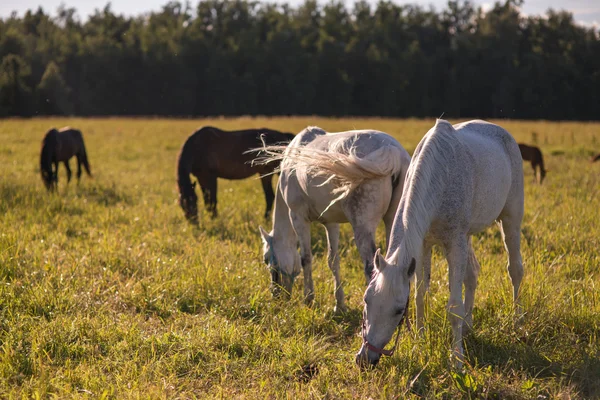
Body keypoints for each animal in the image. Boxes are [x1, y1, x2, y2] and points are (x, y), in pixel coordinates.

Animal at [356, 119, 524, 368]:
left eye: (398, 310)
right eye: (367, 300)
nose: (365, 359)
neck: (439, 176)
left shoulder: (454, 243)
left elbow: (453, 306)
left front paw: (457, 359)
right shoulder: (423, 246)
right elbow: (420, 297)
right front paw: (419, 344)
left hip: (510, 220)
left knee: (515, 270)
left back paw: (517, 321)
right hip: (467, 236)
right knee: (472, 274)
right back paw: (468, 326)